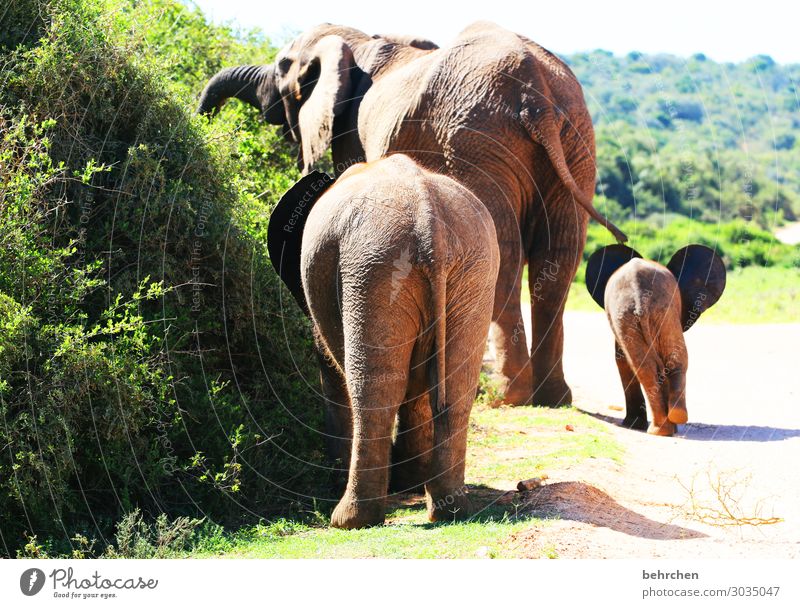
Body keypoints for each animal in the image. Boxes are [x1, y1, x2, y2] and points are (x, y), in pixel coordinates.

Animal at [198, 22, 624, 418]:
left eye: (283, 66)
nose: (205, 120)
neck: (355, 42)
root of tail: (536, 97)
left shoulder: (350, 133)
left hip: (477, 141)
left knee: (506, 253)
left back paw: (507, 398)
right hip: (575, 140)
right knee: (559, 258)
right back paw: (553, 400)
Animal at [268, 154, 496, 528]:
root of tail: (429, 219)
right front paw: (411, 482)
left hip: (373, 268)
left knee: (373, 391)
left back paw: (348, 519)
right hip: (474, 270)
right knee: (456, 387)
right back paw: (450, 510)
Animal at [584, 245, 728, 434]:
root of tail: (639, 296)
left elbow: (622, 361)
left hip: (646, 313)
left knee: (649, 365)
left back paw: (663, 427)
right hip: (651, 313)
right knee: (663, 363)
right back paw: (667, 426)